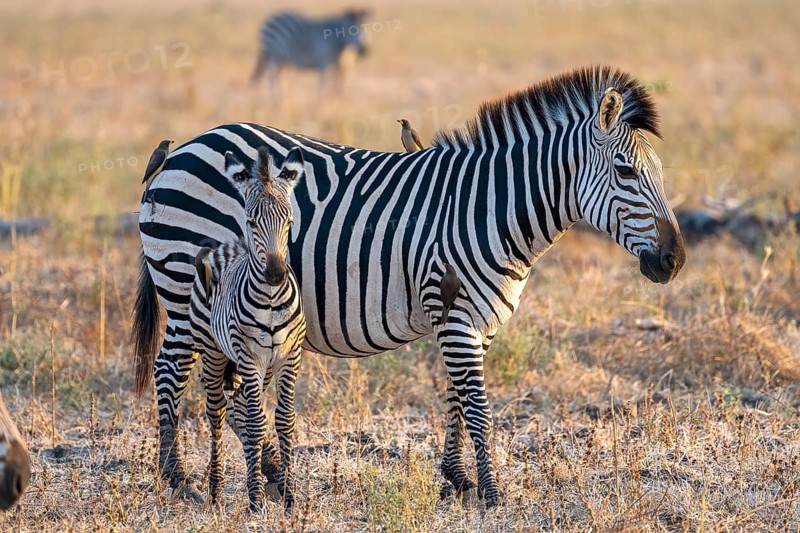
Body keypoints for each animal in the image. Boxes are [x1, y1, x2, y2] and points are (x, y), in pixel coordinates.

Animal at [189, 146, 306, 511]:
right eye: (252, 221)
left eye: (289, 222)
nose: (276, 275)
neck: (270, 299)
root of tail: (229, 246)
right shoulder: (250, 357)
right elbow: (255, 422)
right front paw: (255, 499)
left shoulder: (288, 356)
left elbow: (284, 420)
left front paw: (290, 495)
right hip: (214, 353)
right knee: (217, 412)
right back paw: (215, 489)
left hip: (257, 366)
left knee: (239, 404)